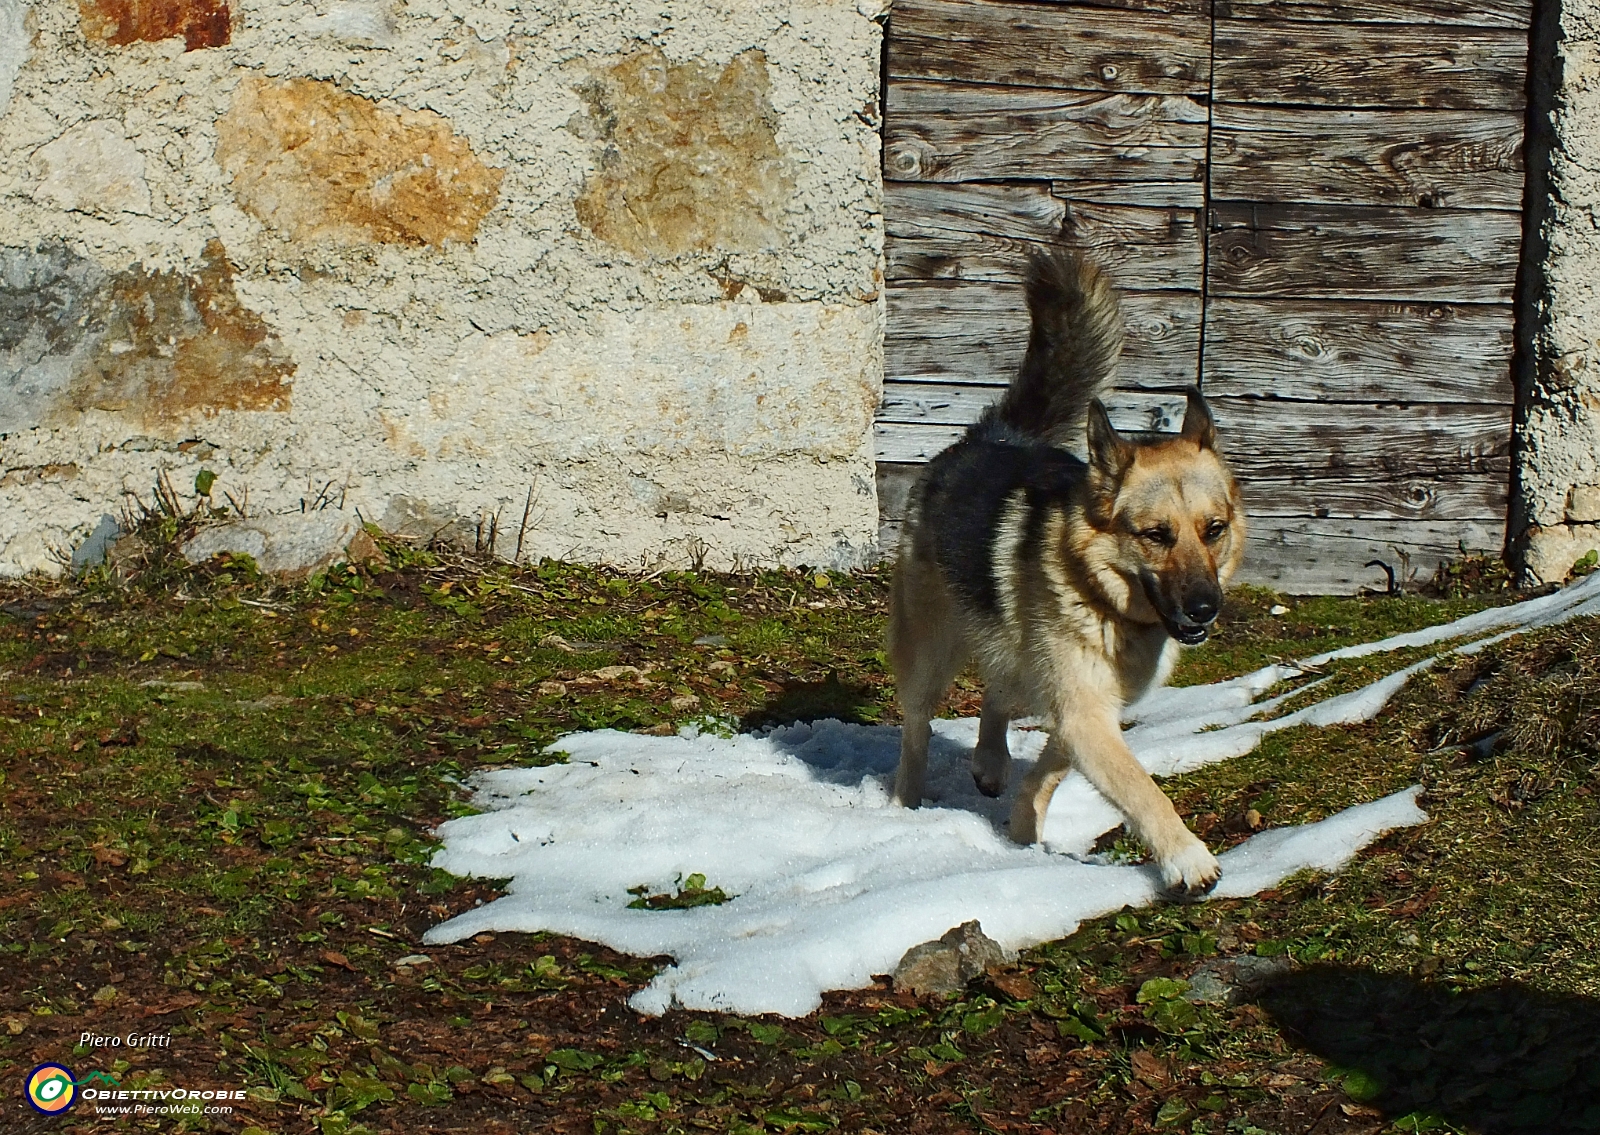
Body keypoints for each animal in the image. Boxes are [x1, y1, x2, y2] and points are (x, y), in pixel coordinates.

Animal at [889, 244, 1248, 896]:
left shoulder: (1090, 712)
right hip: (929, 650)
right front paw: (1185, 857)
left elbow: (1051, 771)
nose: (1205, 609)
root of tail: (993, 434)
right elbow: (1141, 788)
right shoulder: (1084, 714)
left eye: (1214, 529)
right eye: (1155, 535)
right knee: (917, 730)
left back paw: (990, 762)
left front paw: (1022, 827)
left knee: (1001, 688)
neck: (1104, 597)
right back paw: (905, 805)